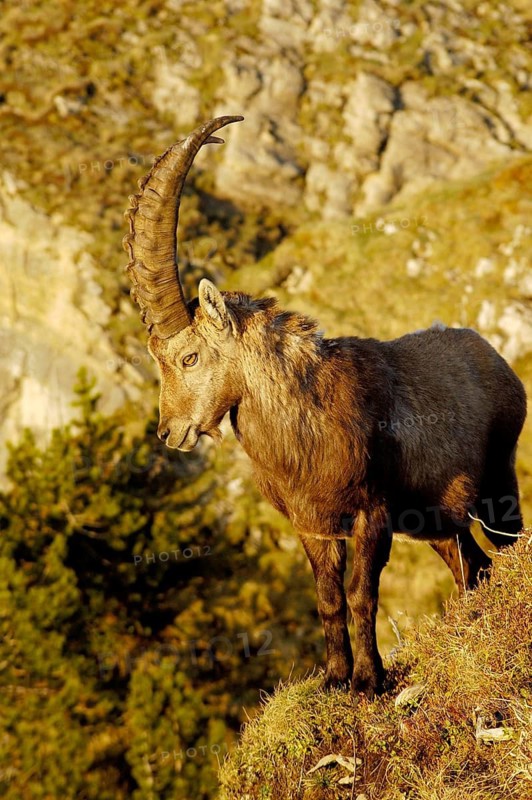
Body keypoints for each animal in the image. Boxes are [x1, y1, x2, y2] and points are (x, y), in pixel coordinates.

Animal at [124, 116, 526, 697]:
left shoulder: (372, 515)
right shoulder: (314, 527)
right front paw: (336, 679)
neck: (304, 426)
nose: (168, 431)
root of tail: (492, 355)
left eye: (190, 357)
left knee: (507, 545)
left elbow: (362, 595)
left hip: (497, 478)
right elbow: (329, 600)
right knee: (471, 565)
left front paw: (370, 681)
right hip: (434, 521)